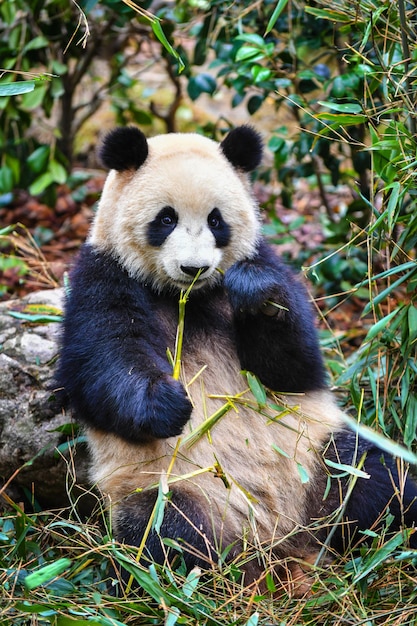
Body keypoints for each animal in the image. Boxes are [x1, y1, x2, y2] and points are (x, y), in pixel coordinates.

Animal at [55, 125, 416, 588]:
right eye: (165, 219)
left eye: (216, 220)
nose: (194, 269)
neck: (185, 298)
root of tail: (280, 535)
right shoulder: (104, 276)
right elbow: (105, 361)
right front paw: (167, 403)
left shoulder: (265, 262)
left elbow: (294, 366)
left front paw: (255, 294)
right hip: (168, 486)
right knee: (164, 534)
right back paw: (212, 577)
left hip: (315, 453)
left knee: (376, 479)